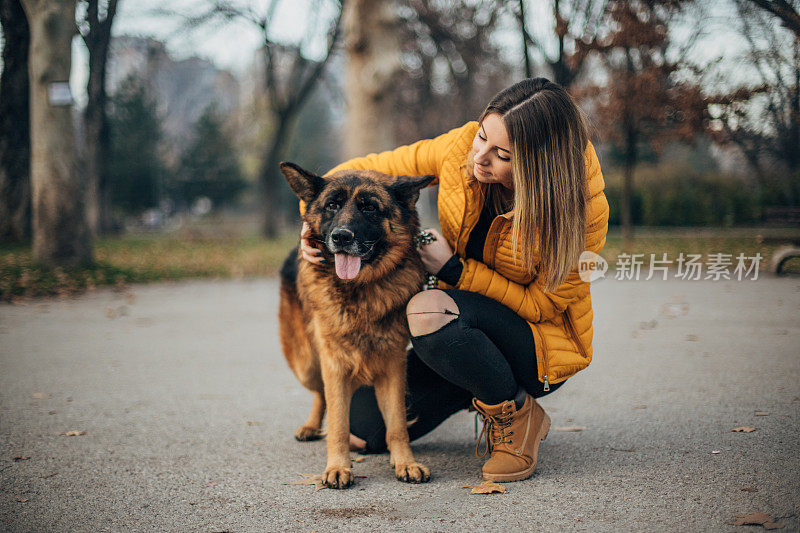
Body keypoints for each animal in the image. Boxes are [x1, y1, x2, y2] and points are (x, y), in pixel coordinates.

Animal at [278, 163, 434, 490]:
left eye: (370, 208)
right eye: (332, 206)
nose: (341, 237)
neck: (360, 290)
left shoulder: (393, 366)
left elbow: (397, 424)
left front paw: (405, 462)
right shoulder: (334, 364)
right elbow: (338, 422)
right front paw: (338, 467)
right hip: (307, 364)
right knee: (320, 393)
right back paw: (311, 426)